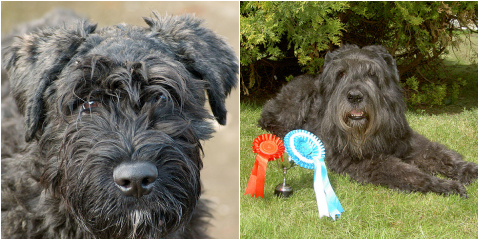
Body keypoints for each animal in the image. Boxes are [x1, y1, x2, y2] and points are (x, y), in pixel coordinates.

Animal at [260, 44, 478, 197]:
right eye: (341, 73)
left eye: (372, 73)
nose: (355, 96)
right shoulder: (362, 160)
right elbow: (409, 173)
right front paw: (444, 184)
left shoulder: (407, 142)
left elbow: (440, 154)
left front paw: (470, 170)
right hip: (297, 99)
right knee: (268, 119)